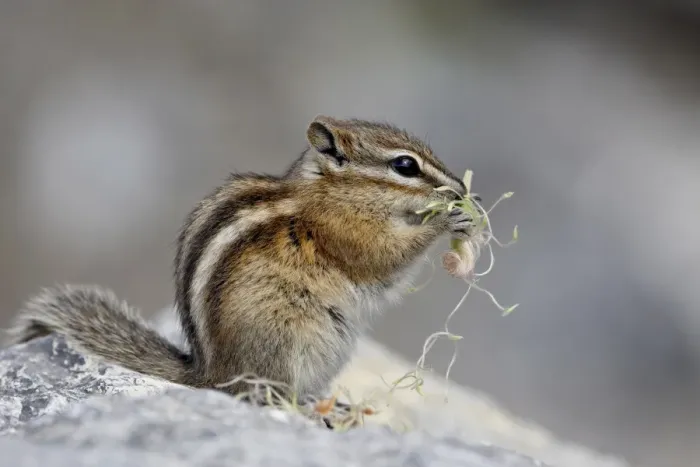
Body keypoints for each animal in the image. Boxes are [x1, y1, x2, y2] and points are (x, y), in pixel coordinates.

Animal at [6, 115, 472, 407]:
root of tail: (210, 376)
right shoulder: (345, 232)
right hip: (290, 339)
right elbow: (385, 259)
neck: (331, 191)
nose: (460, 188)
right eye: (405, 165)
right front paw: (448, 218)